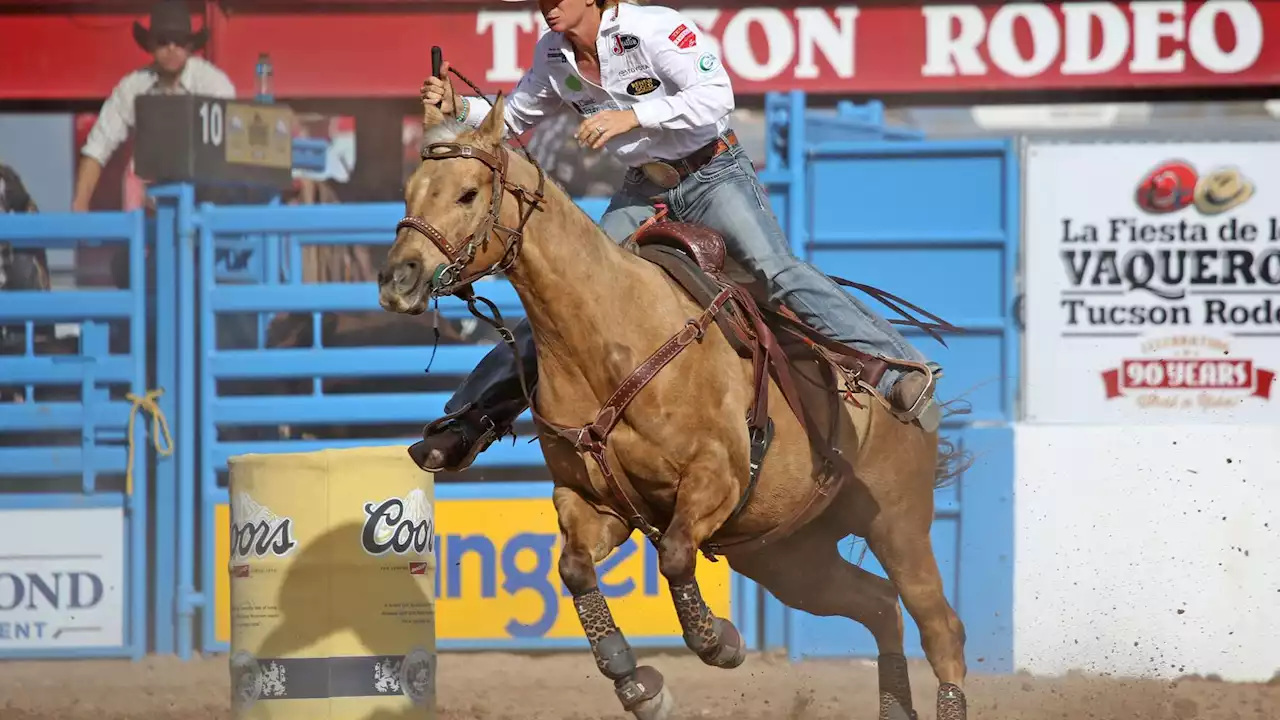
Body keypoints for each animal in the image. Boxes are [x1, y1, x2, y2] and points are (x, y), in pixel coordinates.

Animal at [376, 95, 967, 717]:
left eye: (468, 193)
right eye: (411, 190)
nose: (397, 277)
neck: (611, 337)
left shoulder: (716, 477)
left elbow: (678, 555)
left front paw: (720, 641)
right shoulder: (590, 501)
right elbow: (573, 568)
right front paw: (638, 684)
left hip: (897, 522)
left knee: (939, 626)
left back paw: (908, 385)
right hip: (788, 557)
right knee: (878, 604)